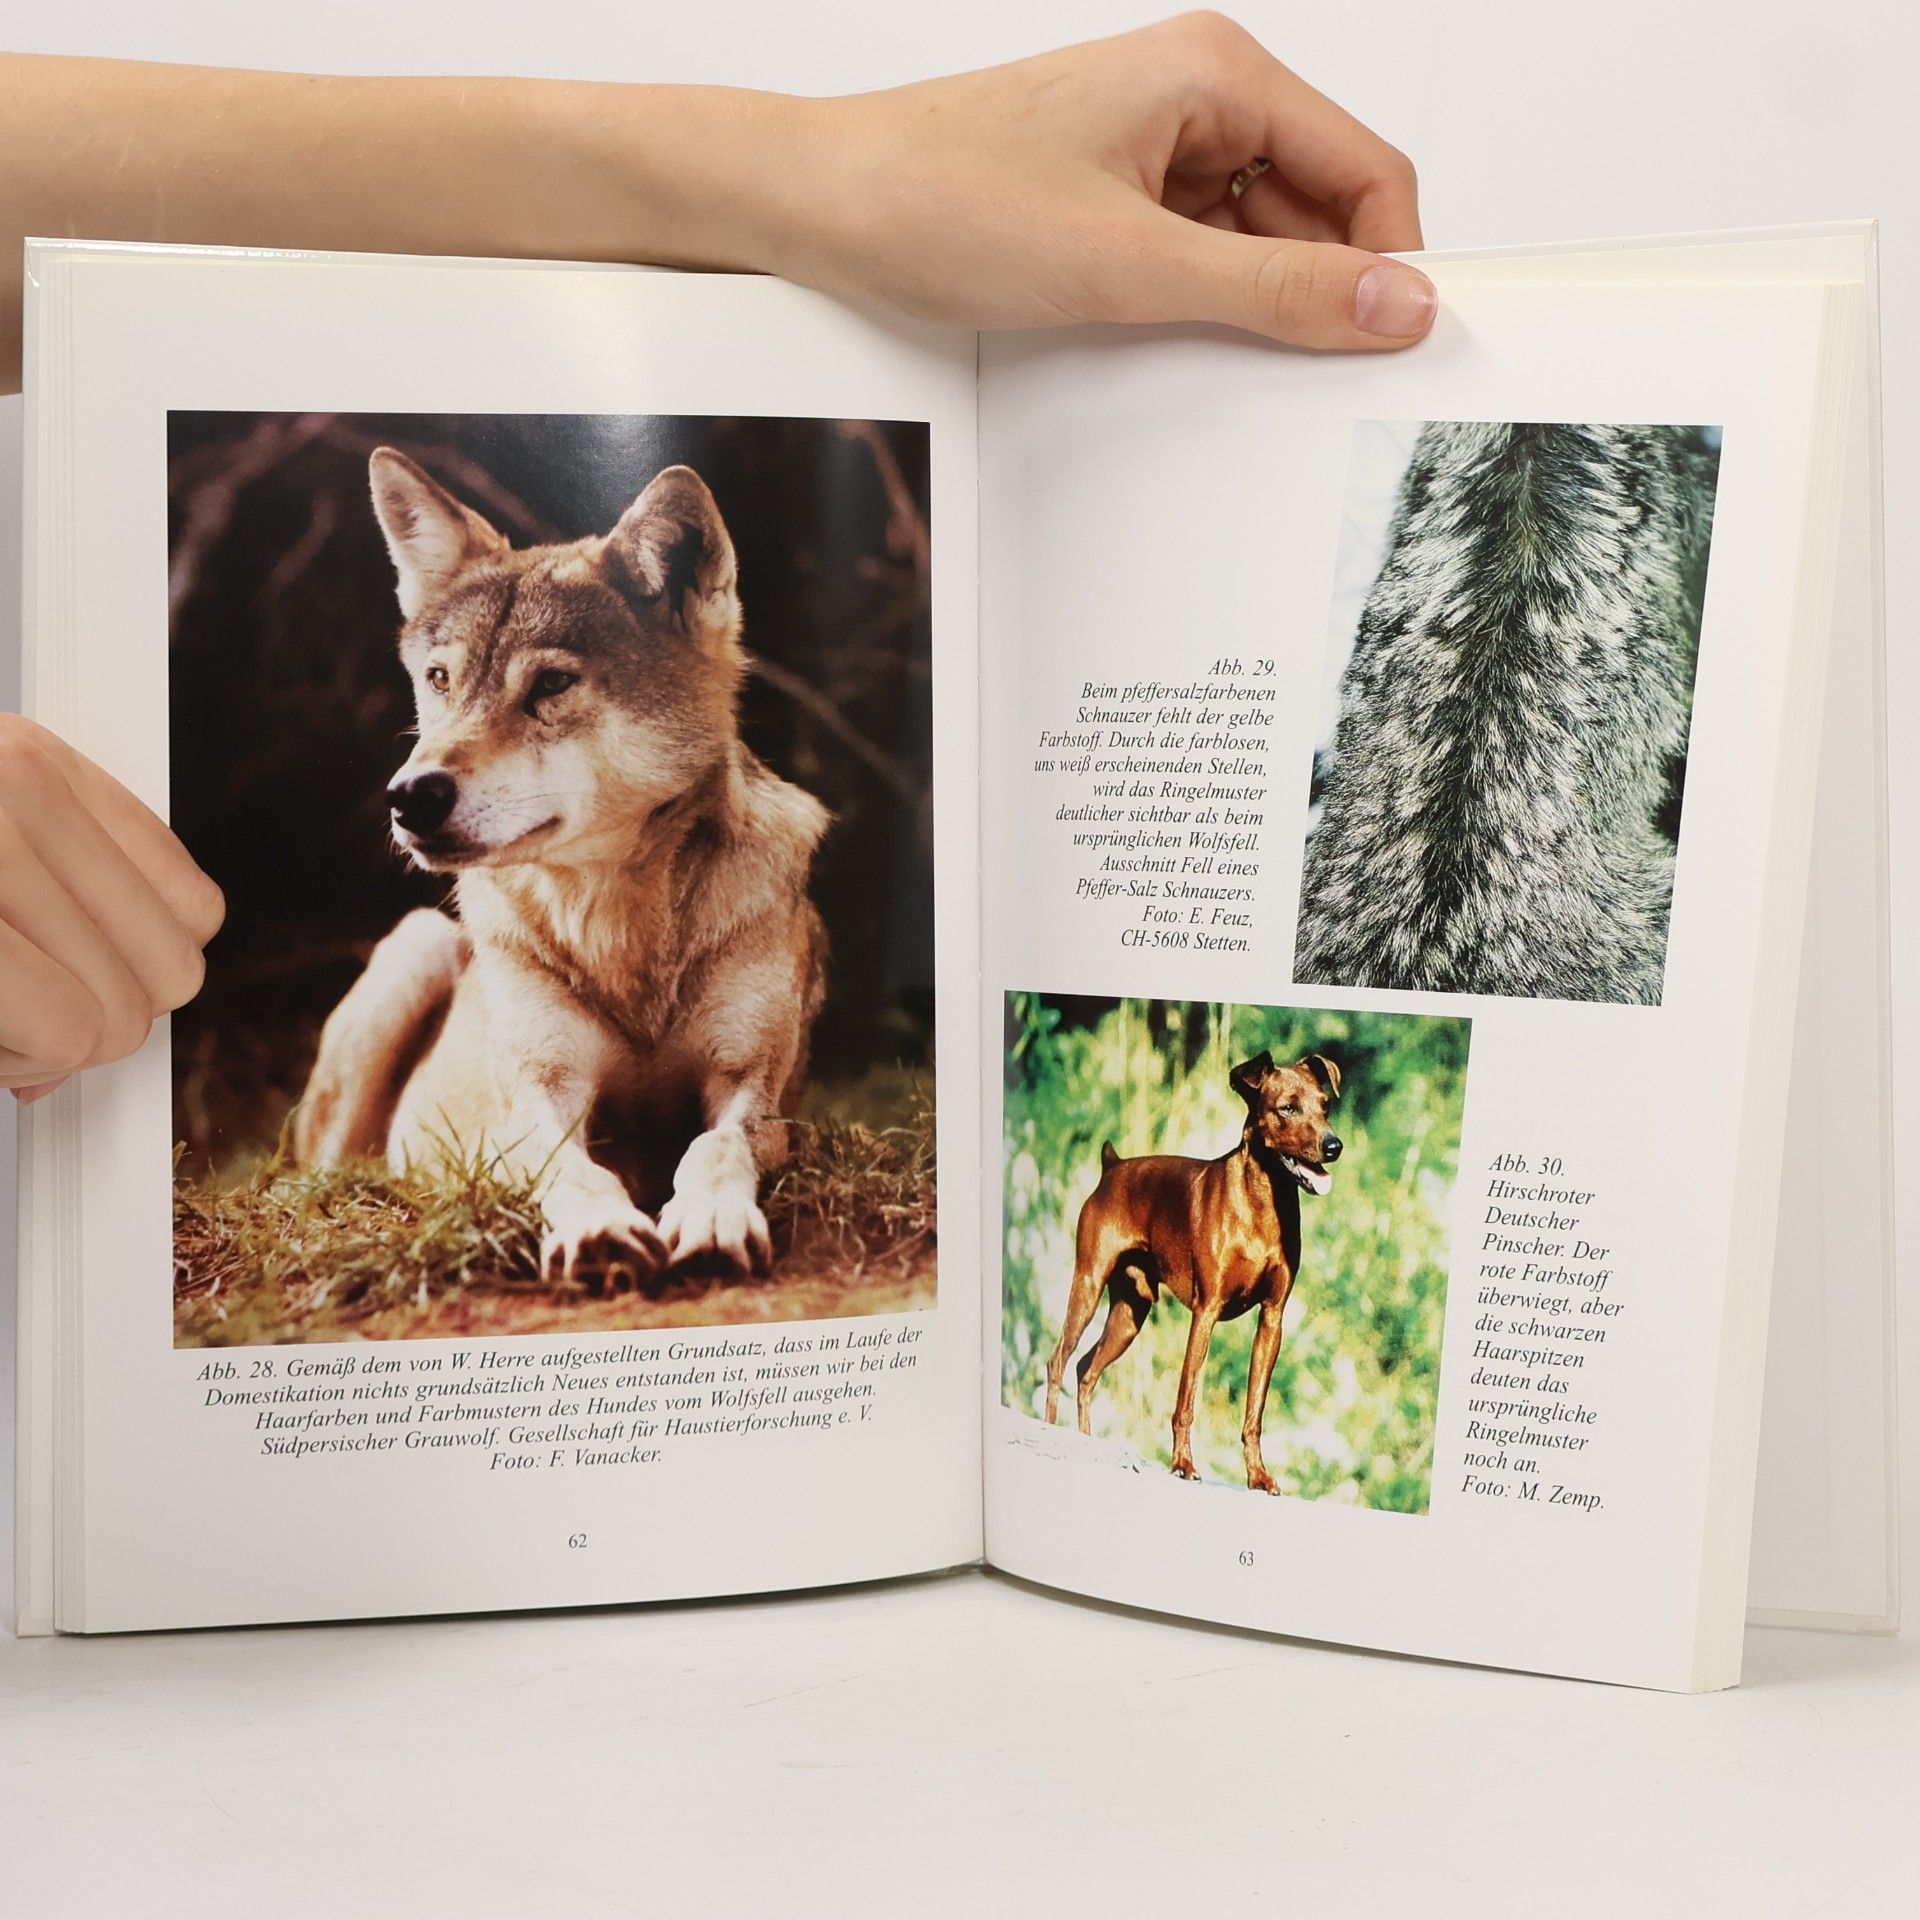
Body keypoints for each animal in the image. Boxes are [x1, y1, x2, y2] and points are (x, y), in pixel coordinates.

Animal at [293, 448, 828, 1290]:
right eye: (441, 680)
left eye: (550, 684)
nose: (409, 795)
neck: (617, 928)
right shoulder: (543, 1093)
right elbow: (570, 1168)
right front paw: (602, 1230)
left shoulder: (752, 1084)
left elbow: (714, 1147)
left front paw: (711, 1219)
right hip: (414, 948)